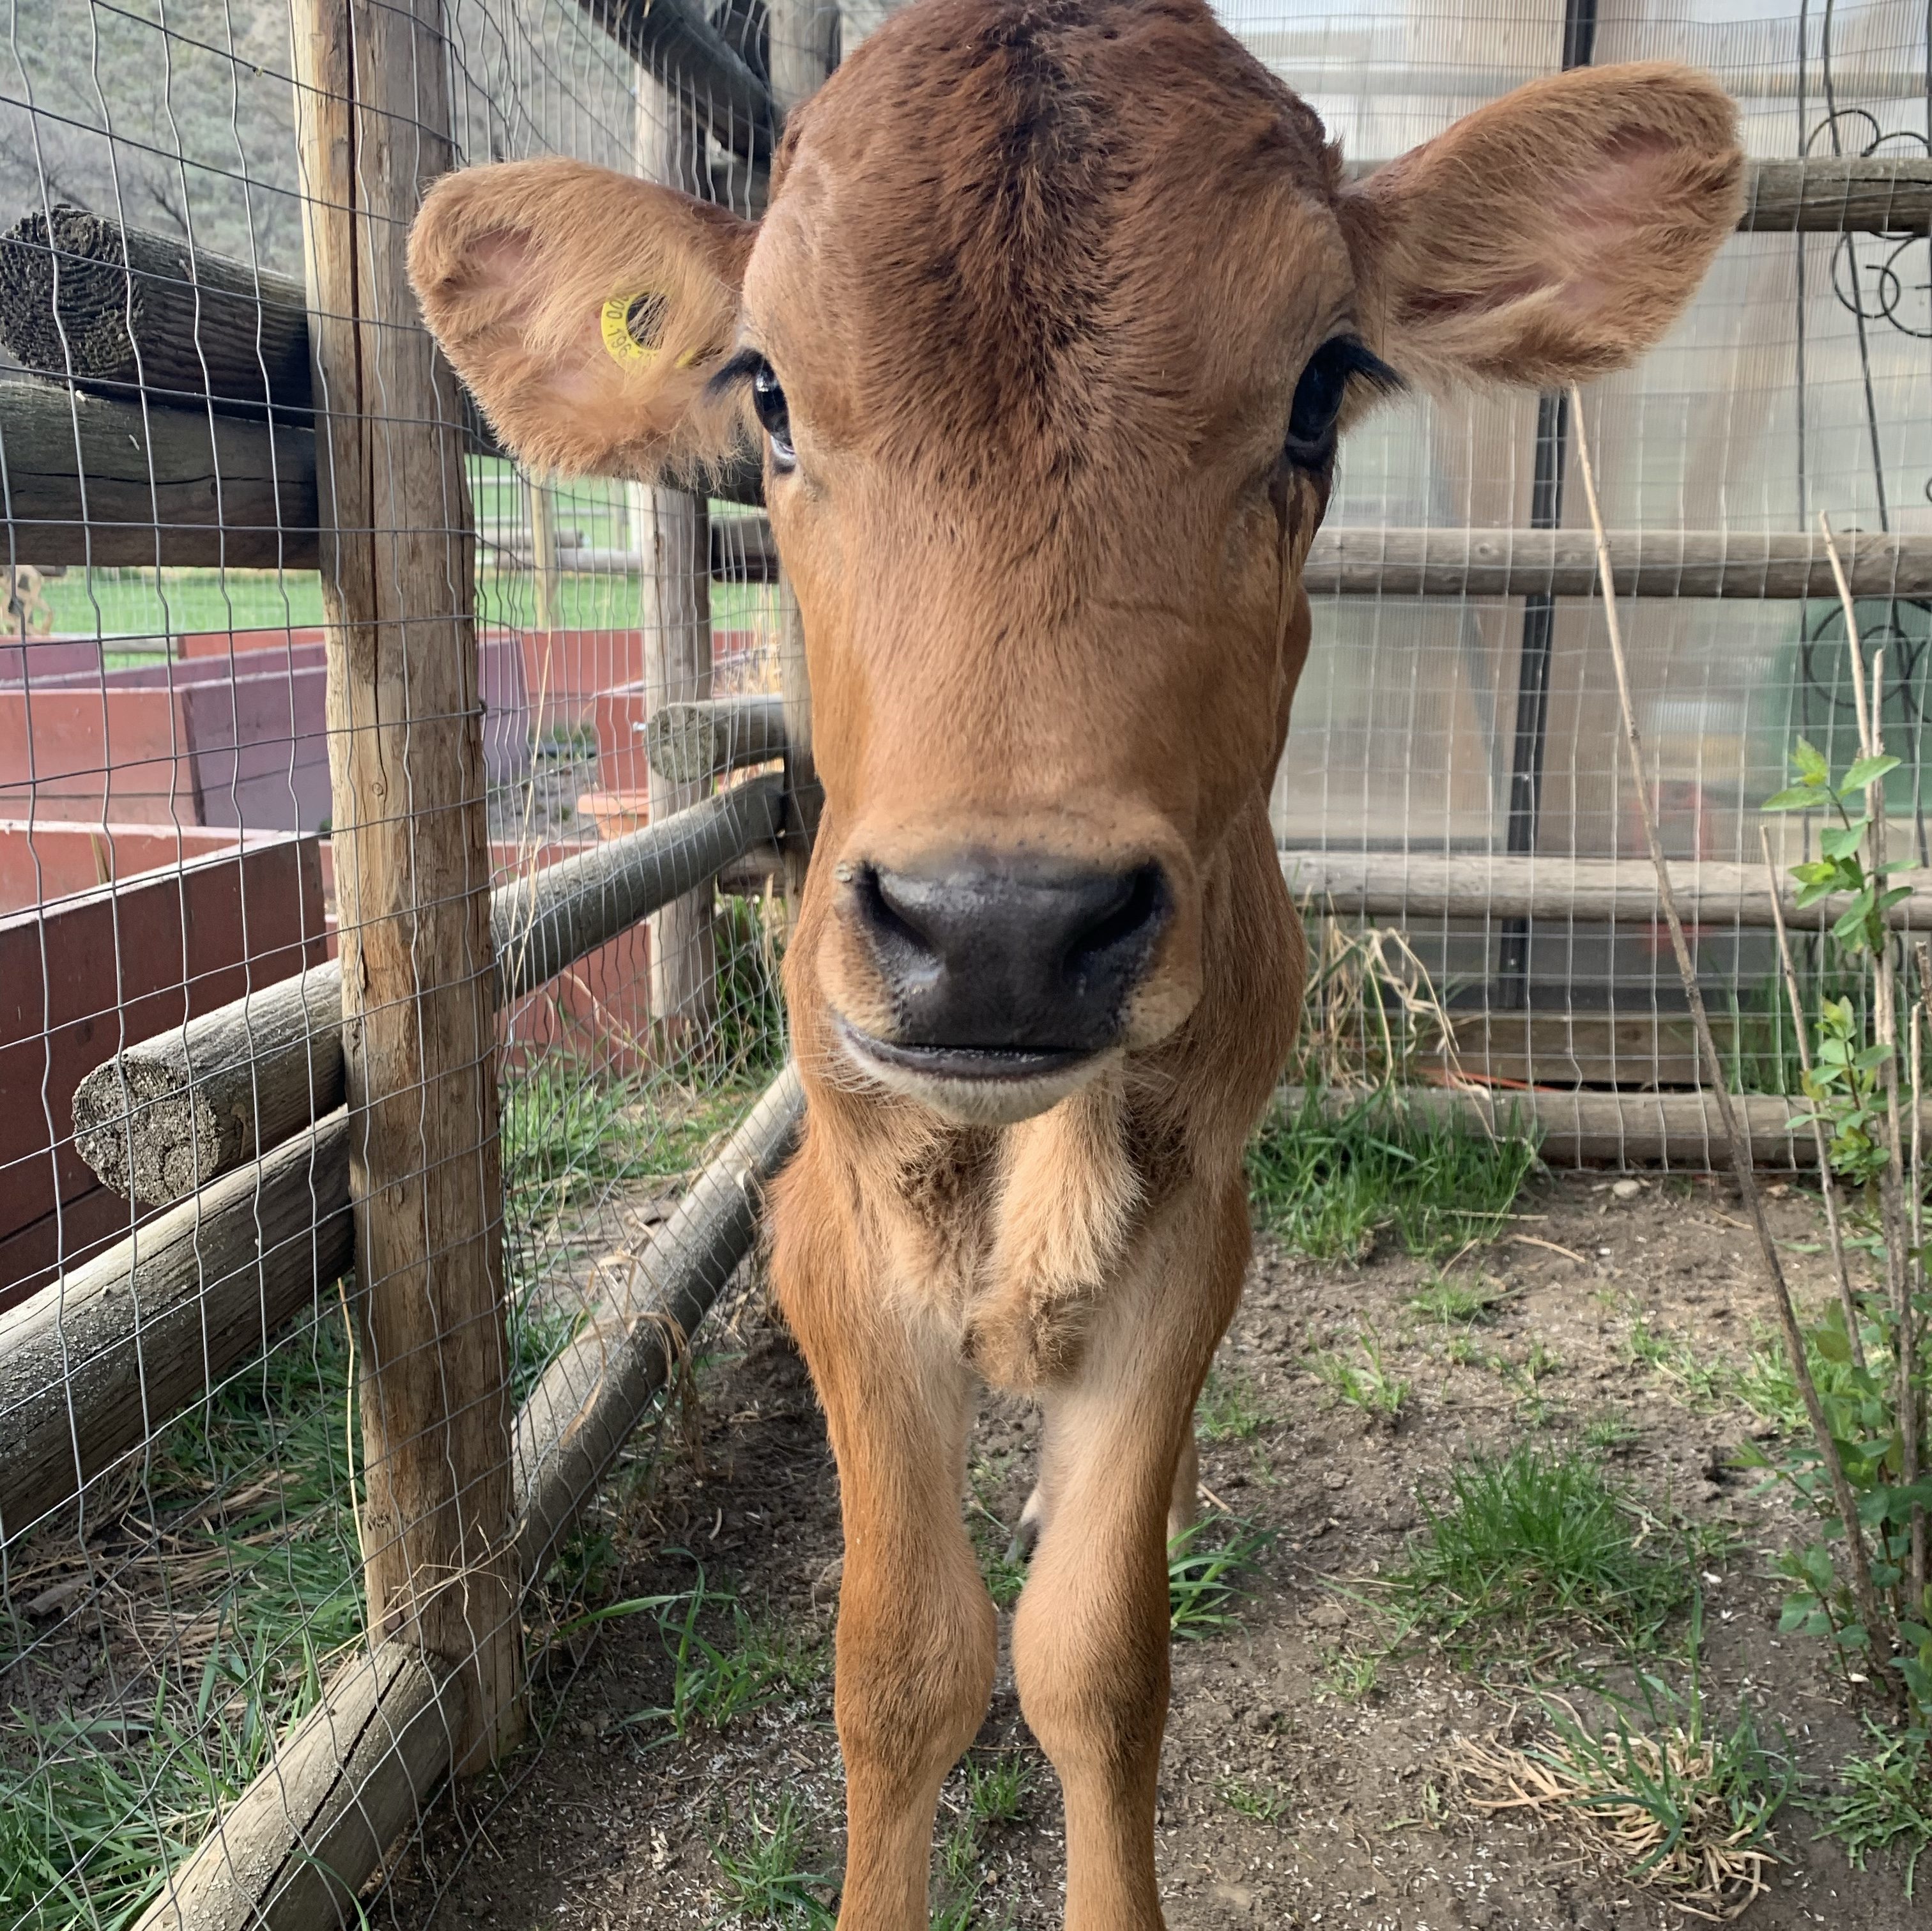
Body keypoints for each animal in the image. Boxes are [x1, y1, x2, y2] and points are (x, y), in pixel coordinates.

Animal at [410, 3, 1742, 1922]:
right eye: (770, 394)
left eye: (1322, 384)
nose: (1002, 925)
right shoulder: (829, 1227)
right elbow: (903, 1661)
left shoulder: (1196, 1232)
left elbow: (1095, 1655)